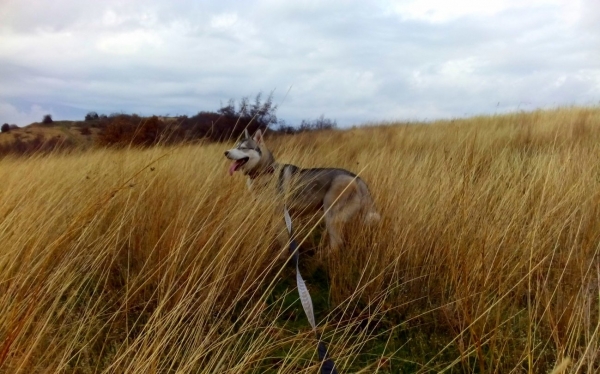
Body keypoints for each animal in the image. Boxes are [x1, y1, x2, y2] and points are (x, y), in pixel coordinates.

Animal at [225, 130, 380, 253]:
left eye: (243, 148)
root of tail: (355, 177)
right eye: (236, 146)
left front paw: (282, 256)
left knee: (337, 243)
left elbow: (282, 241)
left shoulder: (278, 216)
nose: (226, 152)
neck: (265, 172)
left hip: (331, 216)